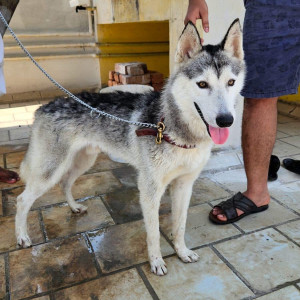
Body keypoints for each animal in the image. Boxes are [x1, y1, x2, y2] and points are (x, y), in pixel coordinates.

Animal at [14, 19, 244, 276]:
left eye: (231, 82)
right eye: (202, 84)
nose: (226, 120)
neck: (175, 130)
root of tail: (43, 107)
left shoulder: (184, 185)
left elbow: (180, 225)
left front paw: (182, 252)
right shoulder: (150, 189)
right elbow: (153, 233)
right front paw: (156, 262)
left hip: (83, 162)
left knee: (65, 184)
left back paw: (74, 208)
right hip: (50, 171)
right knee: (22, 200)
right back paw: (22, 237)